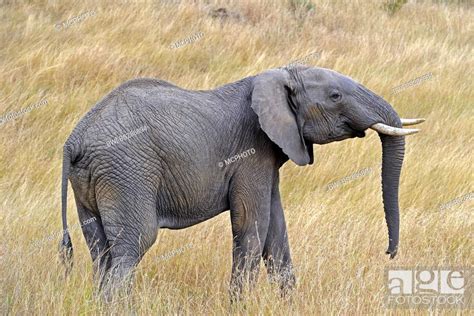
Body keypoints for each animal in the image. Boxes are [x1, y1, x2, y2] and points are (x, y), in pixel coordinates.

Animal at [57, 65, 424, 298]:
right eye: (335, 96)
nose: (389, 253)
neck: (275, 76)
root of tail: (74, 140)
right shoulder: (251, 153)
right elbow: (253, 226)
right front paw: (241, 305)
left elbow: (276, 231)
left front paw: (288, 304)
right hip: (128, 172)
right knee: (132, 244)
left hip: (93, 181)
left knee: (100, 249)